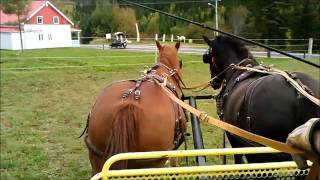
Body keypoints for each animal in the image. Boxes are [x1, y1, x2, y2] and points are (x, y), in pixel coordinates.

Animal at [84, 41, 186, 174]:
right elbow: (174, 162)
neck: (163, 73)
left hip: (96, 159)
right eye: (180, 62)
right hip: (152, 164)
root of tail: (129, 103)